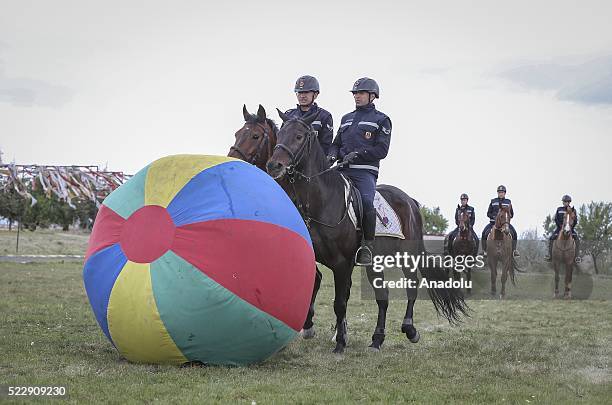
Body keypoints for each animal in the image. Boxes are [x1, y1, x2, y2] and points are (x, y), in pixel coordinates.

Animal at [266, 112, 466, 352]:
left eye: (298, 136)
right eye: (279, 134)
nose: (273, 165)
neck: (323, 201)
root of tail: (410, 201)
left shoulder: (342, 264)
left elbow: (339, 303)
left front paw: (340, 343)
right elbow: (314, 282)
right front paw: (311, 327)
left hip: (408, 257)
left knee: (411, 288)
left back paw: (410, 329)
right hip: (374, 263)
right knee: (383, 297)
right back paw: (377, 339)